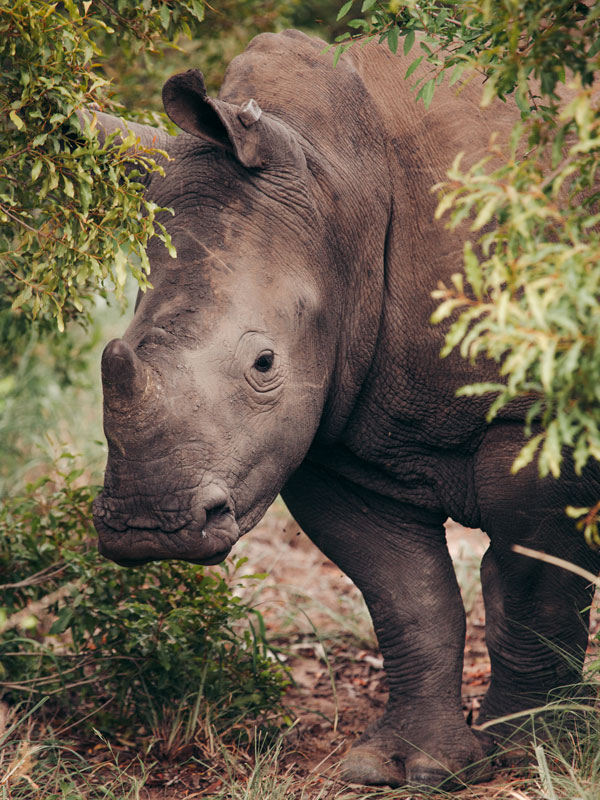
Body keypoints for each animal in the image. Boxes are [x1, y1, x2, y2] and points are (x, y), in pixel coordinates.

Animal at [91, 30, 600, 790]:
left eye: (264, 364)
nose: (146, 528)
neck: (335, 183)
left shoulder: (539, 409)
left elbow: (535, 584)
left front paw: (532, 750)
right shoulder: (326, 433)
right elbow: (408, 598)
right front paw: (405, 766)